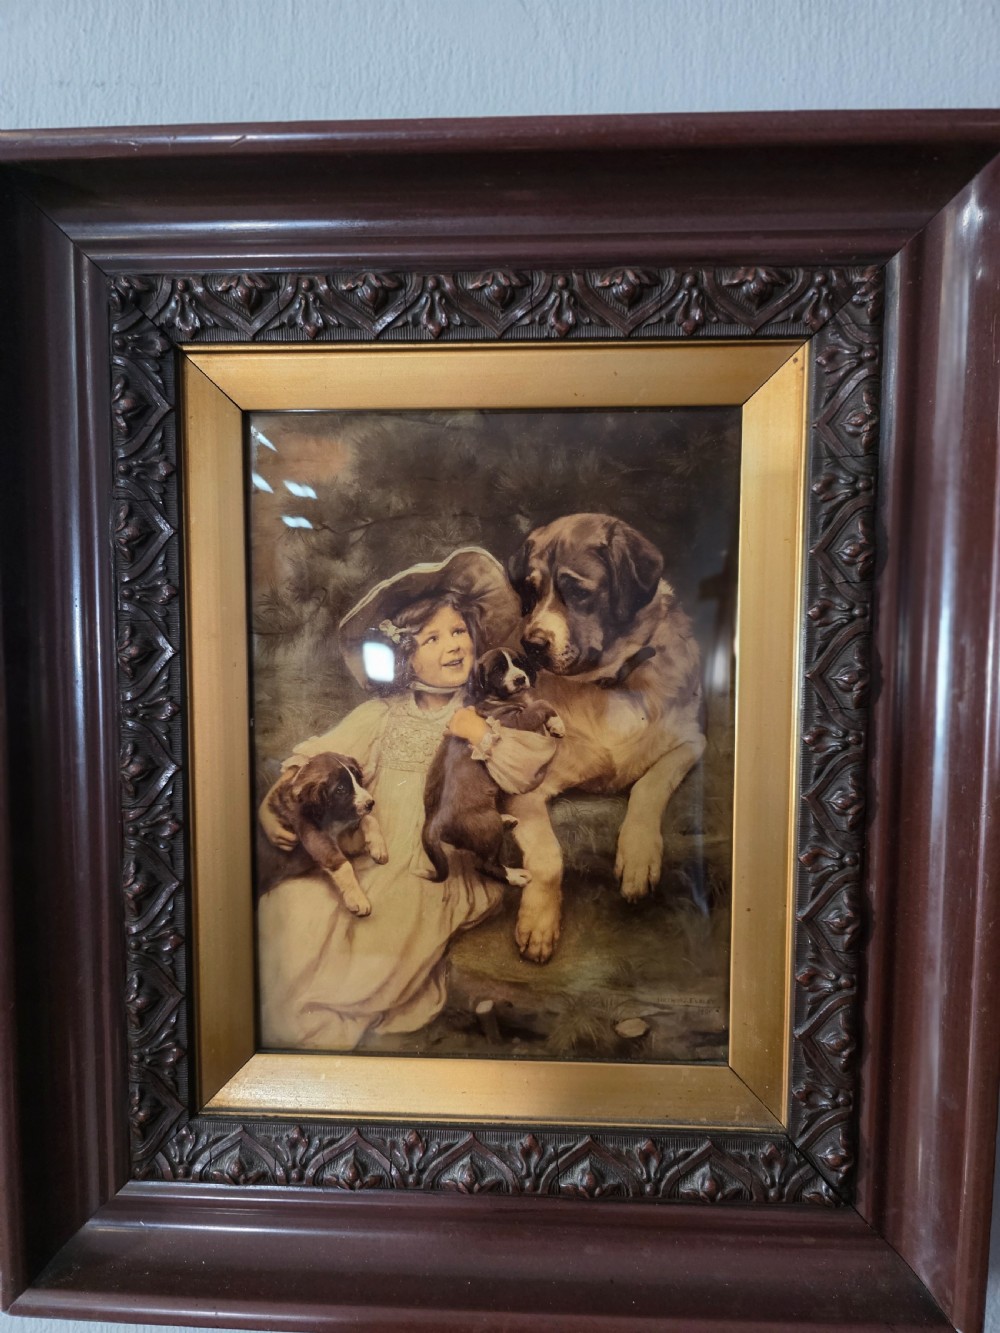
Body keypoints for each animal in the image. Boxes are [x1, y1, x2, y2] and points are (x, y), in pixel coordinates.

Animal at [265, 751, 387, 916]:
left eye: (358, 779)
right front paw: (357, 898)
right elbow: (343, 865)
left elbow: (369, 819)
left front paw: (378, 847)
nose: (370, 803)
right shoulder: (316, 838)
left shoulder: (347, 839)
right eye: (341, 789)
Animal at [421, 648, 564, 887]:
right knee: (485, 864)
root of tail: (432, 822)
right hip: (487, 828)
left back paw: (505, 818)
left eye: (518, 663)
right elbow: (542, 703)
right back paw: (515, 875)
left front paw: (555, 724)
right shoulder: (516, 721)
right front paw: (557, 722)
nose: (520, 679)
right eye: (498, 670)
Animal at [504, 513, 706, 962]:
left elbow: (648, 785)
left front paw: (638, 857)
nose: (531, 644)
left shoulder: (690, 742)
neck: (609, 683)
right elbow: (548, 854)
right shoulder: (523, 790)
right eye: (531, 591)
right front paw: (539, 923)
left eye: (578, 592)